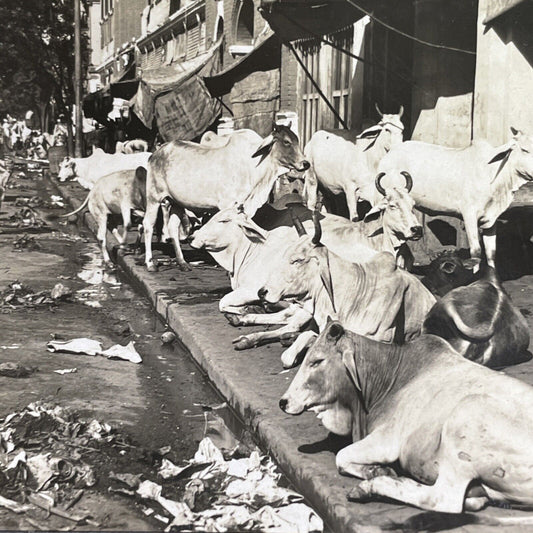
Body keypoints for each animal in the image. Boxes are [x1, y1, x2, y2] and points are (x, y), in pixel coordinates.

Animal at [142, 123, 308, 270]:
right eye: (286, 142)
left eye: (297, 140)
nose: (306, 163)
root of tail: (156, 153)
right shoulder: (227, 205)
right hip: (154, 197)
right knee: (148, 224)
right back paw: (150, 263)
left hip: (177, 202)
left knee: (172, 227)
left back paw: (182, 263)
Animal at [282, 318, 533, 512]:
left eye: (317, 361)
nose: (283, 402)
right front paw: (376, 470)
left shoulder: (386, 440)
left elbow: (342, 456)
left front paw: (377, 471)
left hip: (466, 417)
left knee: (443, 499)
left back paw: (370, 487)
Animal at [376, 127, 532, 268]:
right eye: (524, 150)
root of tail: (390, 154)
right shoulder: (469, 215)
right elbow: (476, 252)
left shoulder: (491, 218)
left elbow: (491, 253)